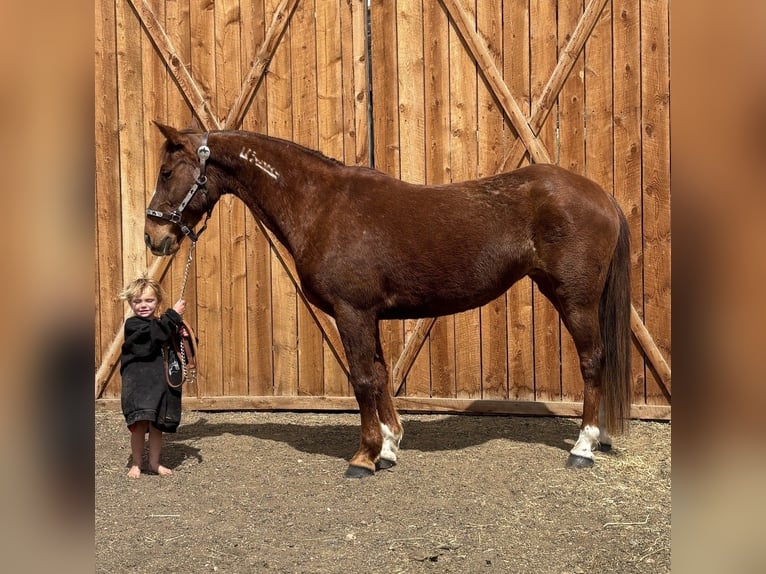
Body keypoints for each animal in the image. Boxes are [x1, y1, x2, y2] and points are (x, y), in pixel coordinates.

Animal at [144, 123, 632, 478]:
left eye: (167, 173)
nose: (153, 237)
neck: (320, 205)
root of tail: (601, 194)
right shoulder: (369, 315)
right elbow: (379, 376)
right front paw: (390, 447)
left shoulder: (352, 312)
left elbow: (362, 380)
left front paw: (363, 458)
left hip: (575, 300)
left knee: (593, 361)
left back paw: (584, 447)